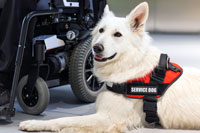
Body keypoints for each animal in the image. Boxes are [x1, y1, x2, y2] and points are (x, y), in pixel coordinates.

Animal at [19, 1, 200, 132]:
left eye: (117, 34)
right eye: (100, 30)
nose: (96, 48)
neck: (129, 66)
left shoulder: (109, 118)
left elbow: (64, 120)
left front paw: (33, 123)